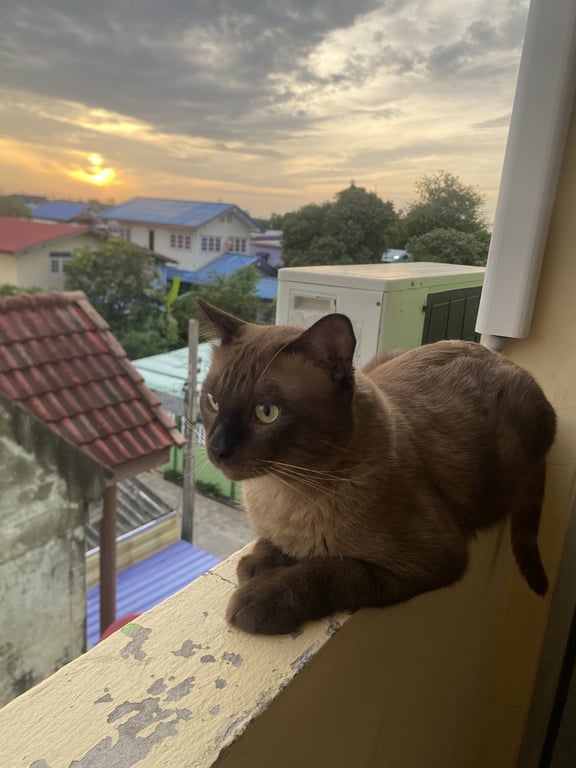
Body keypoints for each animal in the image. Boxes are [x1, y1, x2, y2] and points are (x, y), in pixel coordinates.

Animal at [197, 299, 557, 635]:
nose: (217, 449)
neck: (282, 488)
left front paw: (258, 599)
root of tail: (500, 358)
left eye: (266, 412)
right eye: (212, 401)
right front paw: (257, 564)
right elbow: (266, 546)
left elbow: (324, 572)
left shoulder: (425, 562)